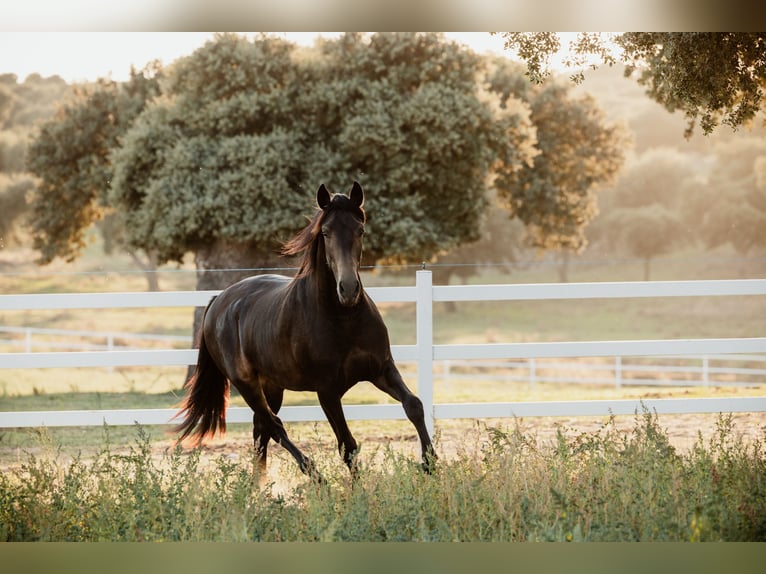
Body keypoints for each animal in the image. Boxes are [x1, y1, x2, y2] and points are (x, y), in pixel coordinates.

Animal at [175, 182, 438, 480]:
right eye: (325, 232)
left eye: (360, 230)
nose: (348, 289)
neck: (344, 317)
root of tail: (218, 300)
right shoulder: (327, 392)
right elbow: (347, 445)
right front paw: (360, 490)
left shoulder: (382, 370)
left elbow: (414, 405)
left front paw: (430, 464)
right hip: (246, 384)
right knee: (274, 426)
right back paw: (314, 475)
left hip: (272, 386)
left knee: (261, 431)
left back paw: (258, 487)